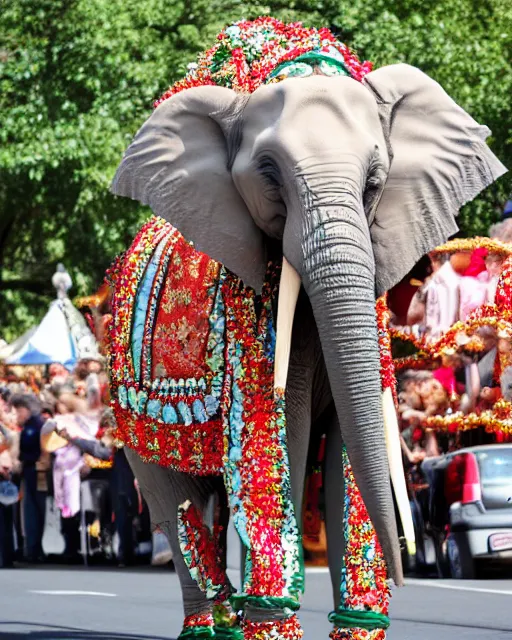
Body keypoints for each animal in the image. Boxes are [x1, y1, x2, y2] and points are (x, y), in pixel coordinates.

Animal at [106, 16, 506, 640]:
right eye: (269, 174)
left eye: (375, 180)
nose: (412, 565)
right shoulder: (250, 319)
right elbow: (278, 439)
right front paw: (271, 616)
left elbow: (353, 443)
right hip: (125, 407)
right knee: (174, 501)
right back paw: (211, 621)